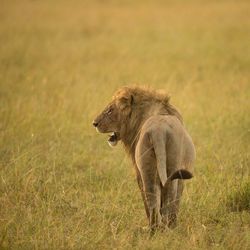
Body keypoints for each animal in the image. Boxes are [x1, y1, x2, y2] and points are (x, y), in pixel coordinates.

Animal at [92, 87, 195, 231]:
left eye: (110, 110)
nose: (94, 123)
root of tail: (158, 131)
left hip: (149, 169)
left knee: (155, 201)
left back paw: (157, 228)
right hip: (165, 169)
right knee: (163, 199)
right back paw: (162, 228)